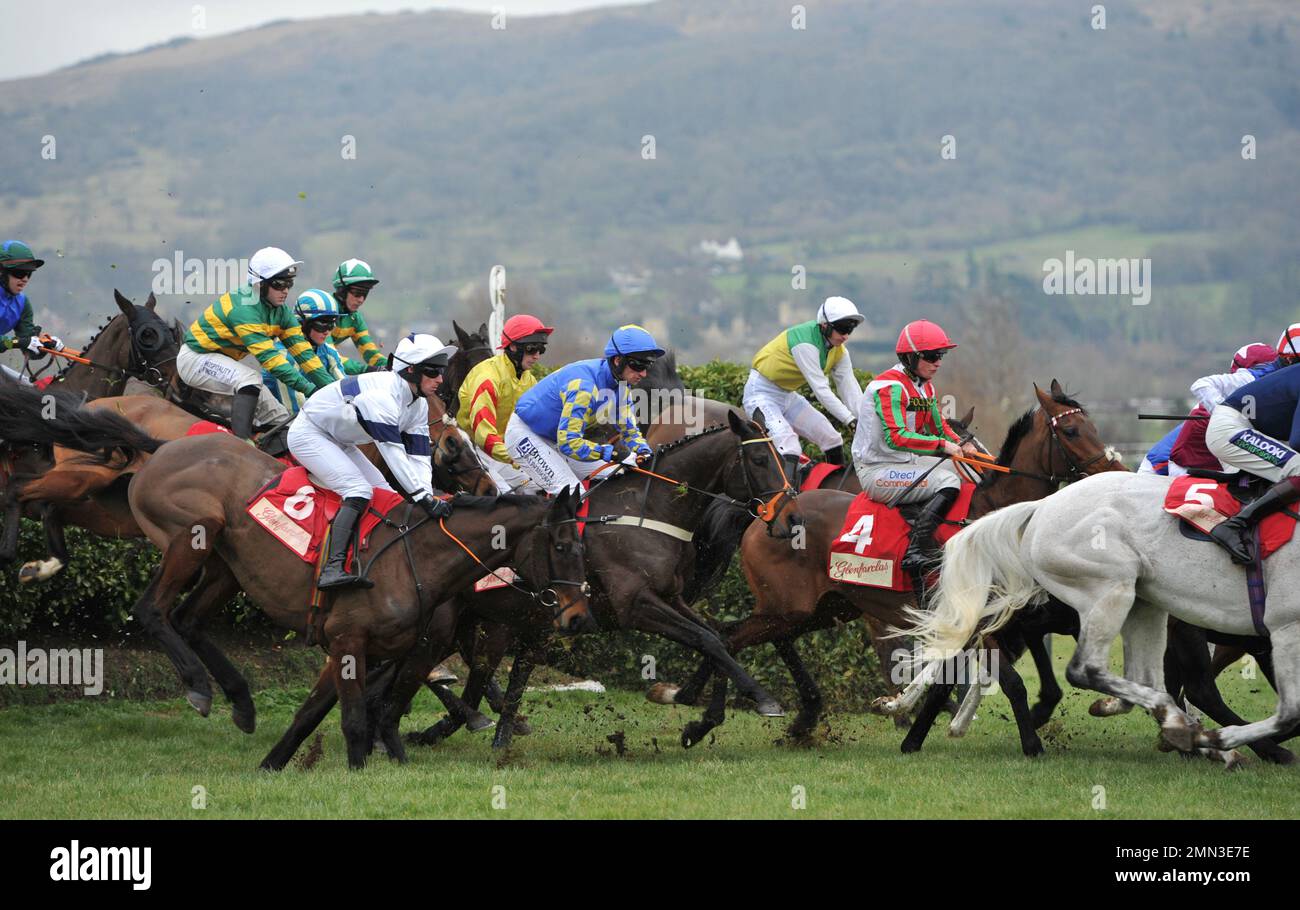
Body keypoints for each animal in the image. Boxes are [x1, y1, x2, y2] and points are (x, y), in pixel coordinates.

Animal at [655, 382, 1123, 748]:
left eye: (1093, 425)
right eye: (1072, 429)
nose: (1114, 469)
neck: (992, 516)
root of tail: (767, 512)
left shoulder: (991, 619)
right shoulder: (970, 618)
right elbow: (1007, 681)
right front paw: (1028, 742)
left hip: (819, 607)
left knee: (742, 637)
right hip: (788, 605)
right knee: (732, 637)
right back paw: (701, 711)